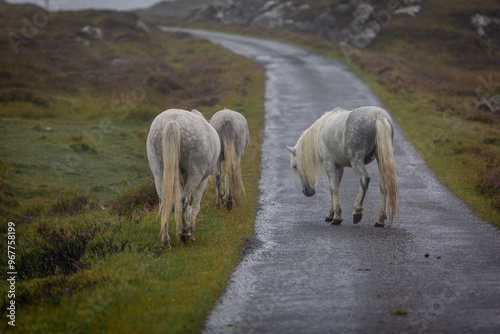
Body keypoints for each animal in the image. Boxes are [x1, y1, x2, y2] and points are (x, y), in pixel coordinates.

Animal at [146, 108, 221, 247]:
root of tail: (173, 122)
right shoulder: (202, 181)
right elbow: (194, 207)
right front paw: (190, 232)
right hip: (195, 175)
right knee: (183, 201)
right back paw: (185, 234)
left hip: (159, 173)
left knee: (164, 203)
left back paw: (166, 240)